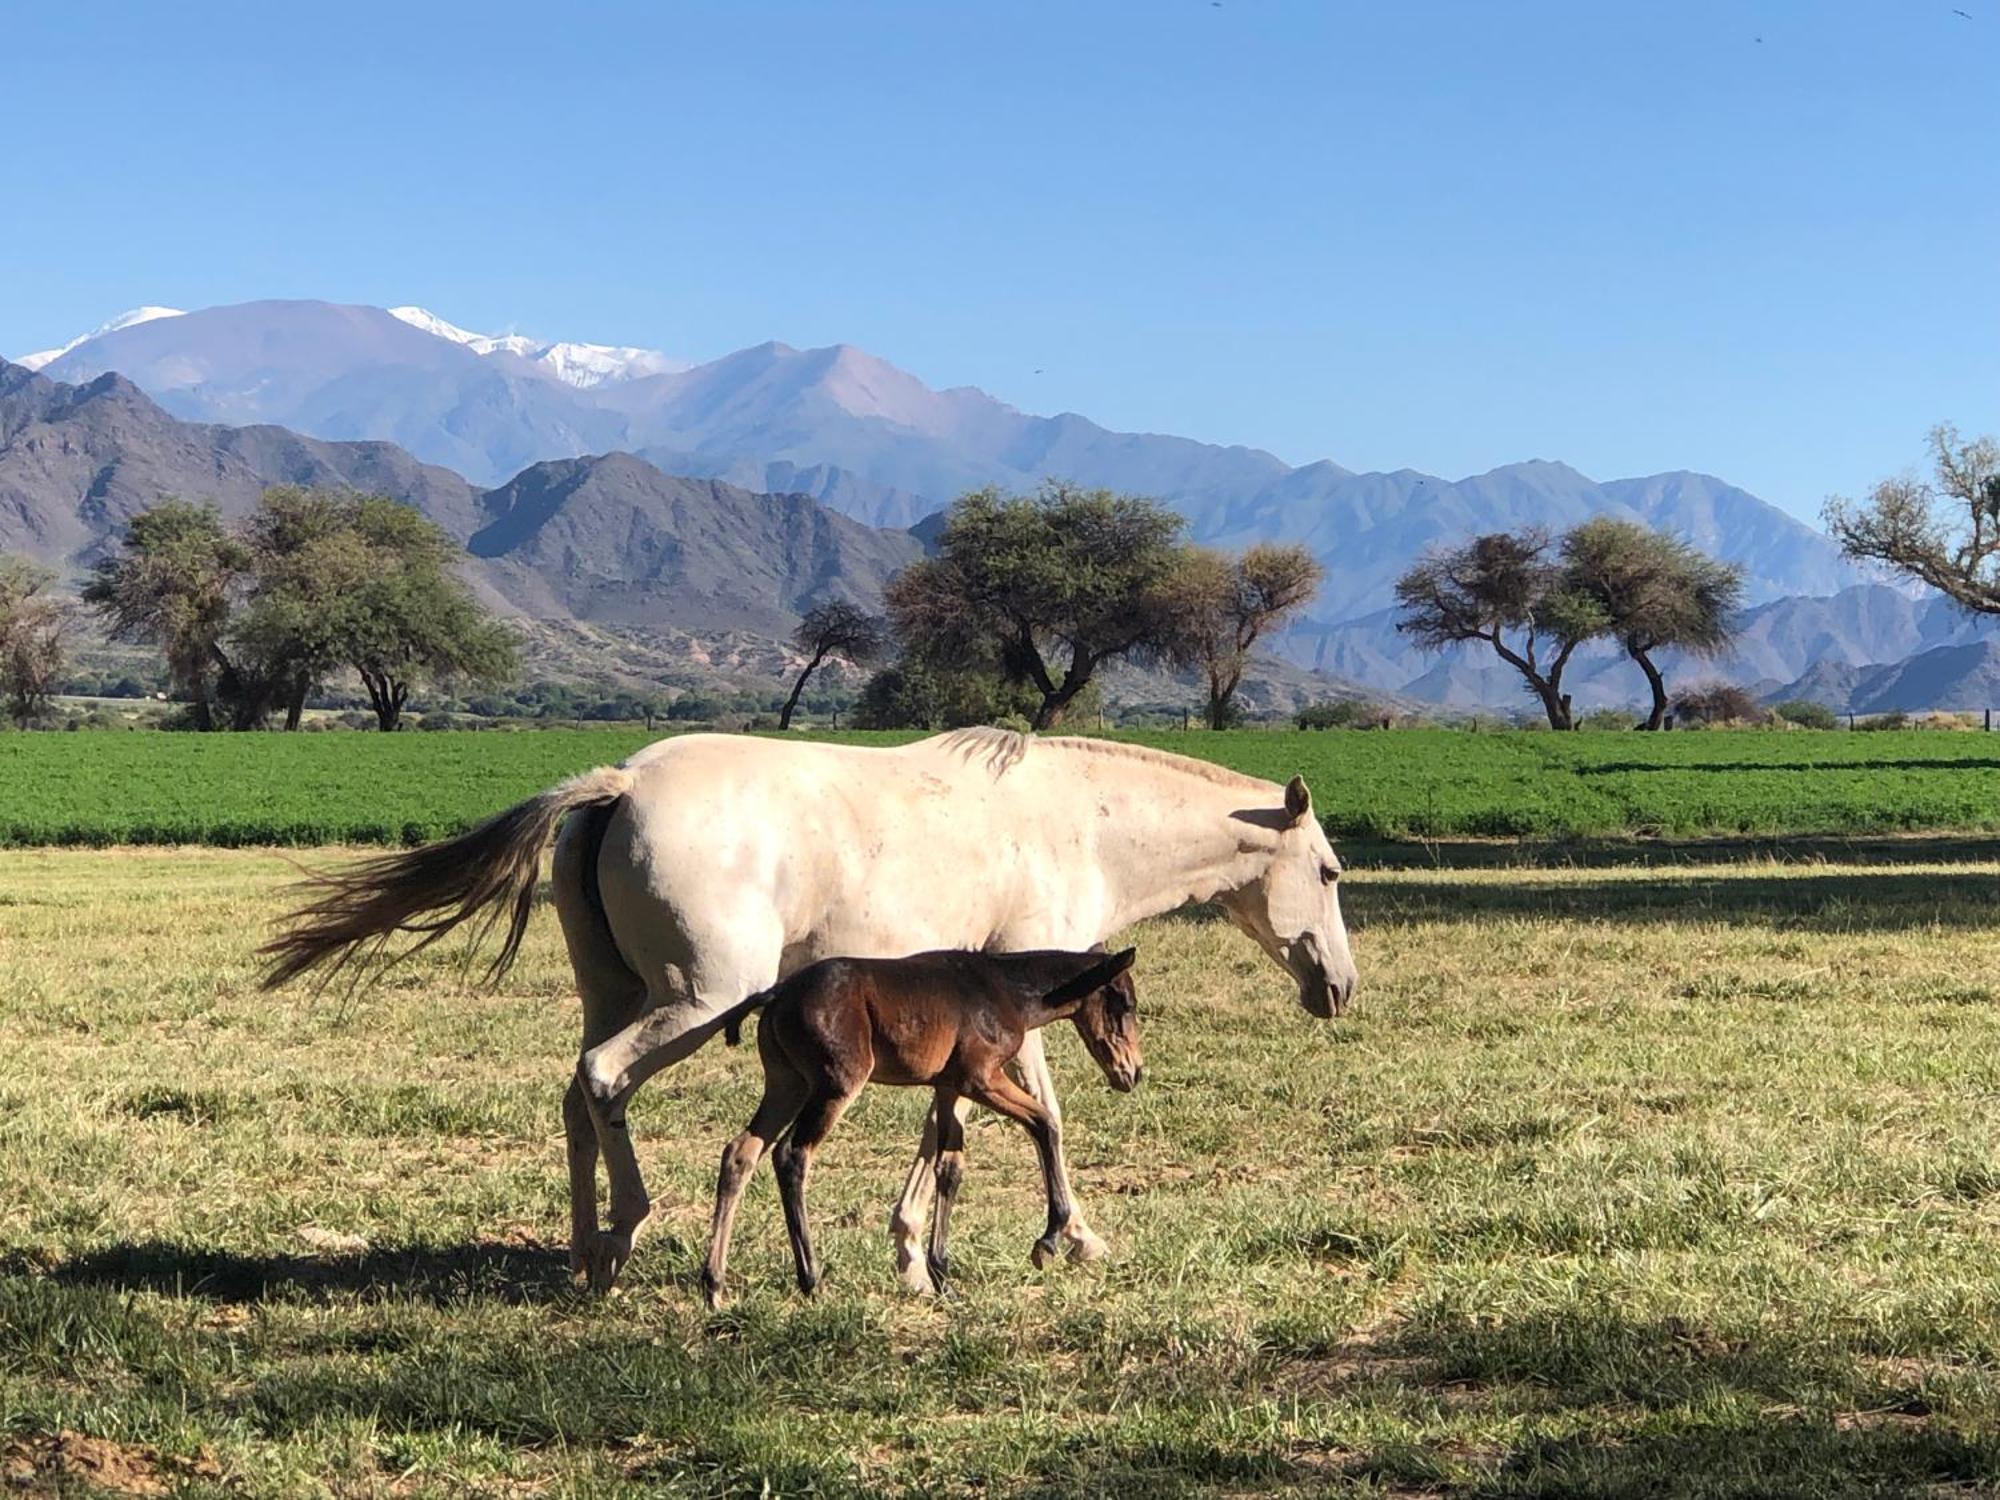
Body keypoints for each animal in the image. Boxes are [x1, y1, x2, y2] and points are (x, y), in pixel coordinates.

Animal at [704, 952, 1144, 1304]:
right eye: (1124, 1003)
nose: (1133, 1073)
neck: (1004, 989)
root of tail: (777, 994)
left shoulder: (950, 1087)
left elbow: (949, 1169)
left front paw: (942, 1277)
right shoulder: (982, 1079)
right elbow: (1045, 1123)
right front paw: (1047, 1241)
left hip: (787, 1084)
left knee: (741, 1153)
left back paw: (714, 1286)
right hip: (836, 1084)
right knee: (791, 1154)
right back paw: (810, 1279)